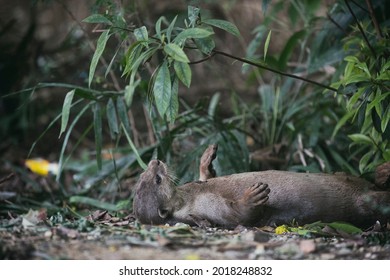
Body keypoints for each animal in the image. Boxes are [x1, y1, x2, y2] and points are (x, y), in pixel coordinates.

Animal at [133, 144, 390, 228]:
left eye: (142, 175)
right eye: (157, 179)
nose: (155, 161)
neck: (190, 195)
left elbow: (207, 174)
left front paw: (207, 158)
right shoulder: (205, 207)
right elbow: (238, 217)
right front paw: (252, 198)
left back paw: (383, 170)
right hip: (362, 202)